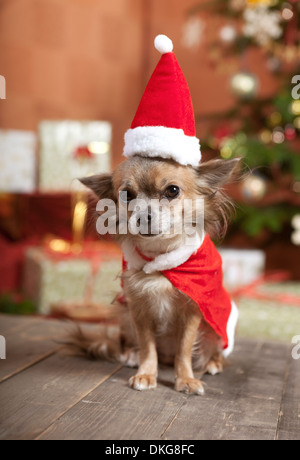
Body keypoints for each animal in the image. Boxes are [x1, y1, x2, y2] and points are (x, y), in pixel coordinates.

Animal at [69, 155, 240, 396]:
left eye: (172, 191)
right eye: (126, 194)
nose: (143, 216)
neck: (160, 257)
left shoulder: (192, 310)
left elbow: (184, 349)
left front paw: (185, 379)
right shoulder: (139, 310)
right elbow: (148, 346)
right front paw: (146, 374)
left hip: (216, 330)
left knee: (214, 351)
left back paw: (213, 363)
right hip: (125, 315)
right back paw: (131, 355)